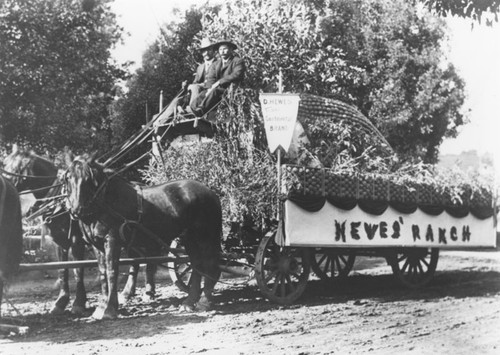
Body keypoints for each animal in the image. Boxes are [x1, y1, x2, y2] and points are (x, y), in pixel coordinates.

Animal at [65, 155, 222, 320]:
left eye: (88, 179)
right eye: (68, 178)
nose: (76, 210)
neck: (106, 201)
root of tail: (210, 193)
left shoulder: (112, 241)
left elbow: (112, 272)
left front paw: (110, 309)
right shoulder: (97, 245)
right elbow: (103, 273)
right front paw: (101, 308)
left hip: (205, 237)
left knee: (210, 265)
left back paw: (204, 301)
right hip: (189, 239)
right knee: (197, 265)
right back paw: (189, 302)